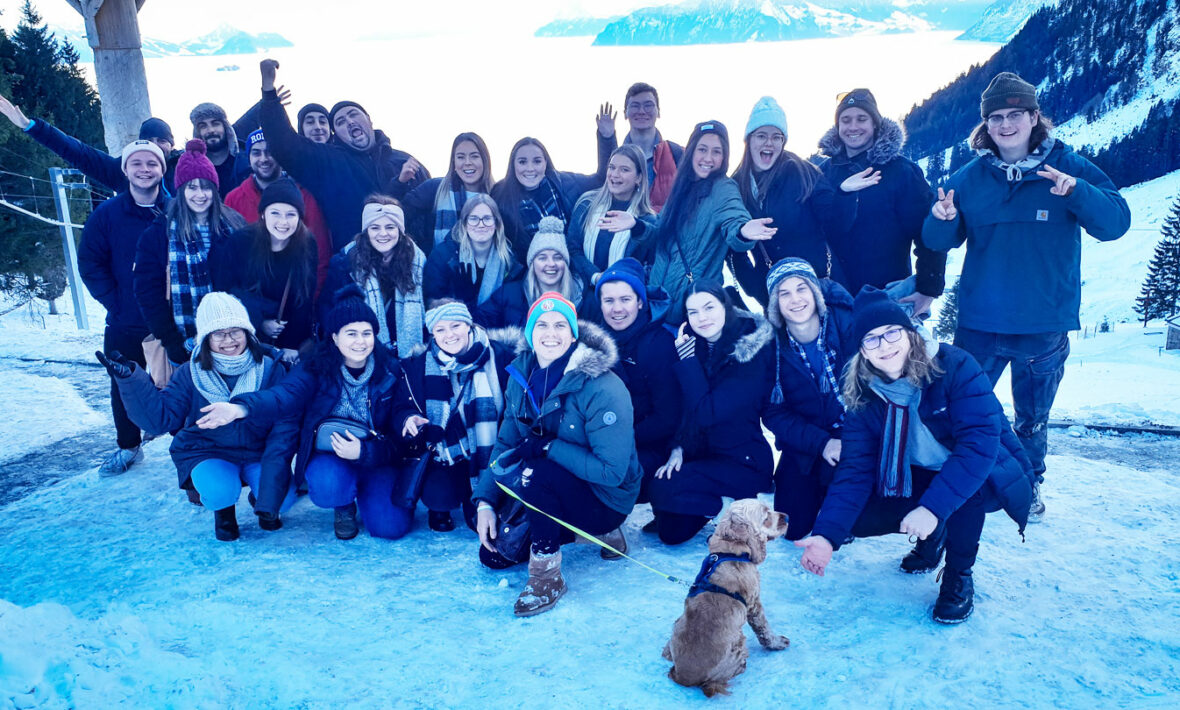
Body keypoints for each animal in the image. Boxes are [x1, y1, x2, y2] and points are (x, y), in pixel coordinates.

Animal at [660, 495, 788, 693]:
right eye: (766, 515)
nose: (787, 517)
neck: (730, 552)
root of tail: (681, 677)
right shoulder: (754, 604)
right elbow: (764, 629)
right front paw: (777, 643)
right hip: (738, 643)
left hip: (676, 624)